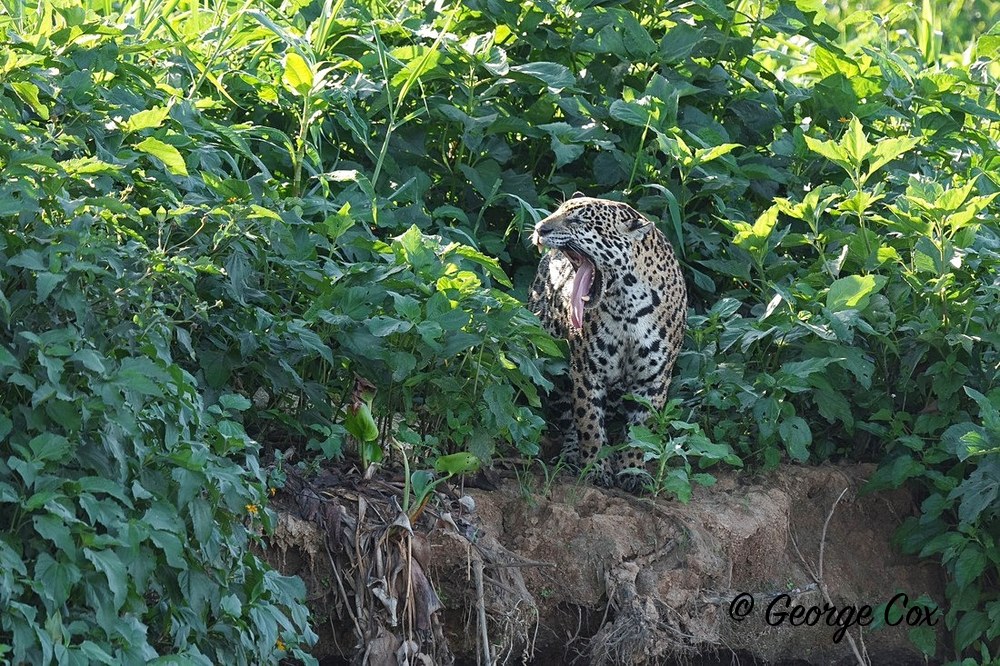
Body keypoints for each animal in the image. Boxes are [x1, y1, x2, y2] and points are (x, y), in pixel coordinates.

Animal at [528, 195, 687, 491]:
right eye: (557, 211)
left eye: (577, 220)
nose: (540, 229)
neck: (626, 307)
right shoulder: (587, 371)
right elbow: (588, 422)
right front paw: (596, 467)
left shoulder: (654, 381)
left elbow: (640, 432)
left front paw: (633, 471)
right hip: (552, 362)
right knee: (569, 419)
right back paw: (572, 455)